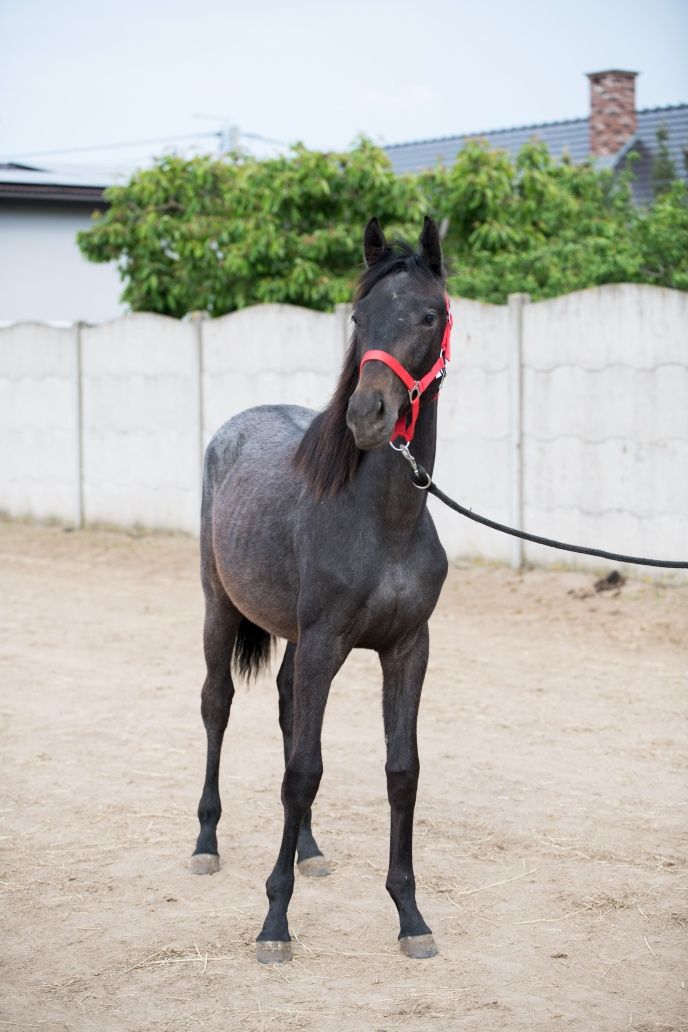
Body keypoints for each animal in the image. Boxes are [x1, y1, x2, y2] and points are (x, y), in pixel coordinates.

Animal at [192, 213, 451, 961]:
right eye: (360, 316)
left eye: (430, 315)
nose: (368, 413)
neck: (384, 523)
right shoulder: (324, 644)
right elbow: (302, 772)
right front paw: (275, 923)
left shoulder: (407, 650)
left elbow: (401, 771)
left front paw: (411, 916)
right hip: (220, 610)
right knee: (217, 705)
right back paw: (205, 841)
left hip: (295, 640)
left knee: (285, 707)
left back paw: (309, 851)